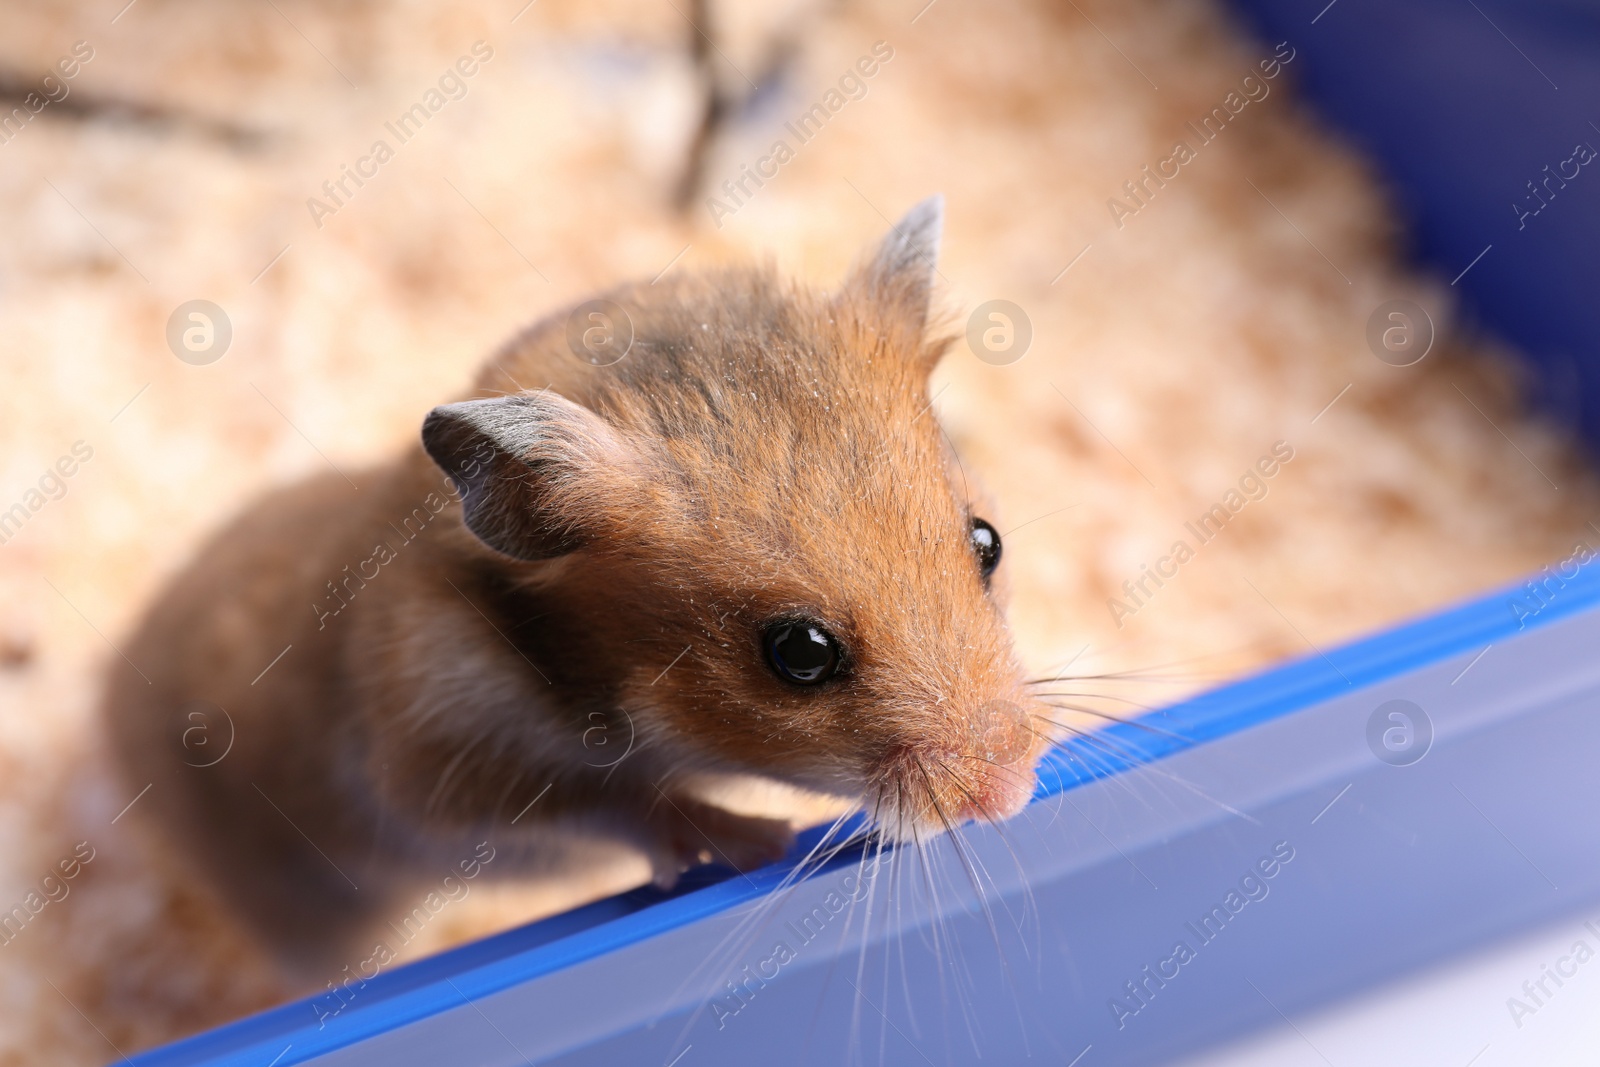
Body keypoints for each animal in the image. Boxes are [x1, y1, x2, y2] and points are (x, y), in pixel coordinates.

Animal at [100, 198, 1049, 966]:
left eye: (988, 541)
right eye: (800, 652)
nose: (1012, 795)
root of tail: (108, 691)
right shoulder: (442, 774)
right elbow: (619, 802)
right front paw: (761, 841)